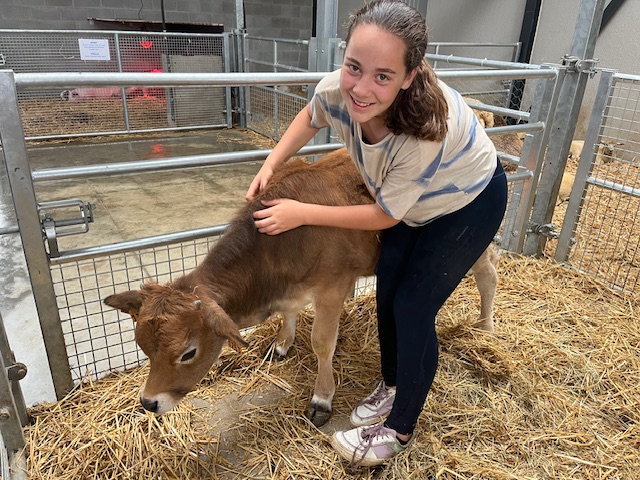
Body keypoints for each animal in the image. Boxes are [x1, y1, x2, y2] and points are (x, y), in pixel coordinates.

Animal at [104, 148, 500, 427]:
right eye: (142, 347)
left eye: (188, 353)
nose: (148, 402)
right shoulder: (290, 291)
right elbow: (289, 312)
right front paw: (281, 344)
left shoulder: (332, 288)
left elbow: (323, 344)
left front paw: (322, 399)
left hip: (469, 242)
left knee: (488, 274)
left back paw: (485, 327)